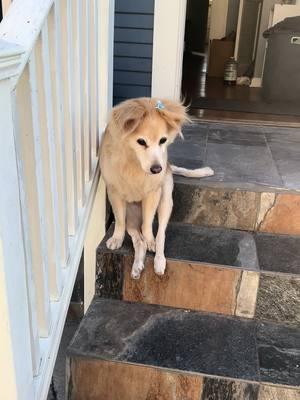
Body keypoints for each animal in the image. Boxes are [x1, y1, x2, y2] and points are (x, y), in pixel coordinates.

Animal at [99, 97, 214, 278]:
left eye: (163, 140)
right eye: (141, 141)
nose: (157, 169)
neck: (133, 162)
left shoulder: (152, 194)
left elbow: (147, 225)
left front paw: (150, 240)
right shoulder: (114, 192)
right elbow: (119, 221)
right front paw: (117, 238)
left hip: (166, 201)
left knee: (160, 235)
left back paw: (158, 259)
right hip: (131, 217)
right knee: (138, 241)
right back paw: (137, 267)